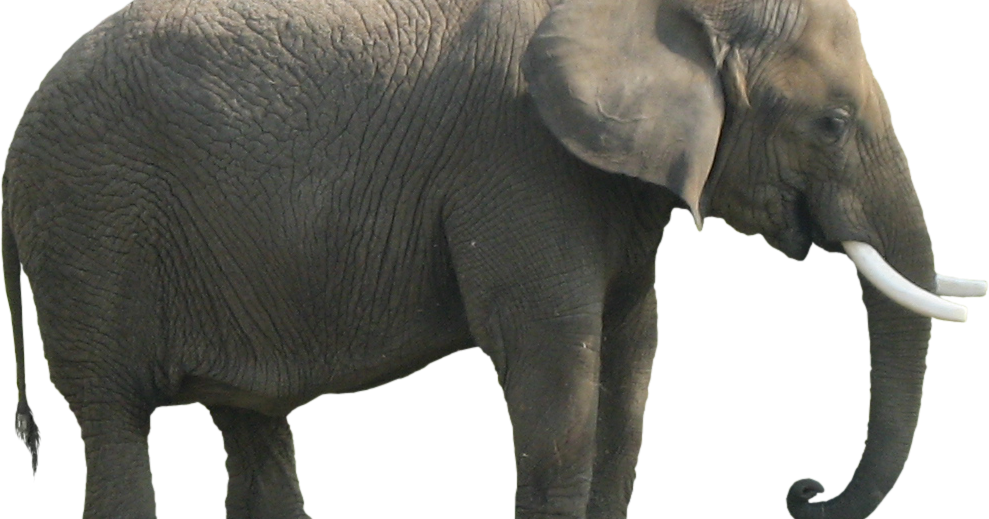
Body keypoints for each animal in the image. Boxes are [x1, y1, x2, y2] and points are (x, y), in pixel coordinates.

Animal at [4, 0, 986, 517]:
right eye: (830, 123)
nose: (802, 490)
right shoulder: (517, 169)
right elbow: (556, 389)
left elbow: (628, 381)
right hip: (93, 231)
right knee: (115, 425)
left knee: (249, 424)